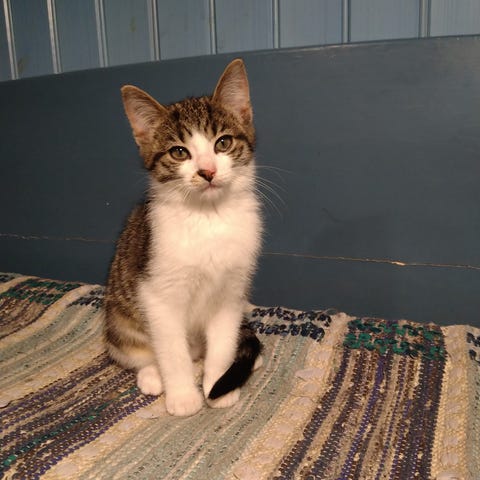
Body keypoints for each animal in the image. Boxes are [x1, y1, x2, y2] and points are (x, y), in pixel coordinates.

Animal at [104, 59, 263, 417]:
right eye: (179, 152)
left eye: (222, 143)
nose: (207, 171)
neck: (208, 218)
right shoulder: (157, 294)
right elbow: (171, 351)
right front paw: (183, 396)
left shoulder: (231, 294)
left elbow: (222, 343)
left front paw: (217, 386)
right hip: (118, 317)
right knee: (138, 351)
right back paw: (154, 375)